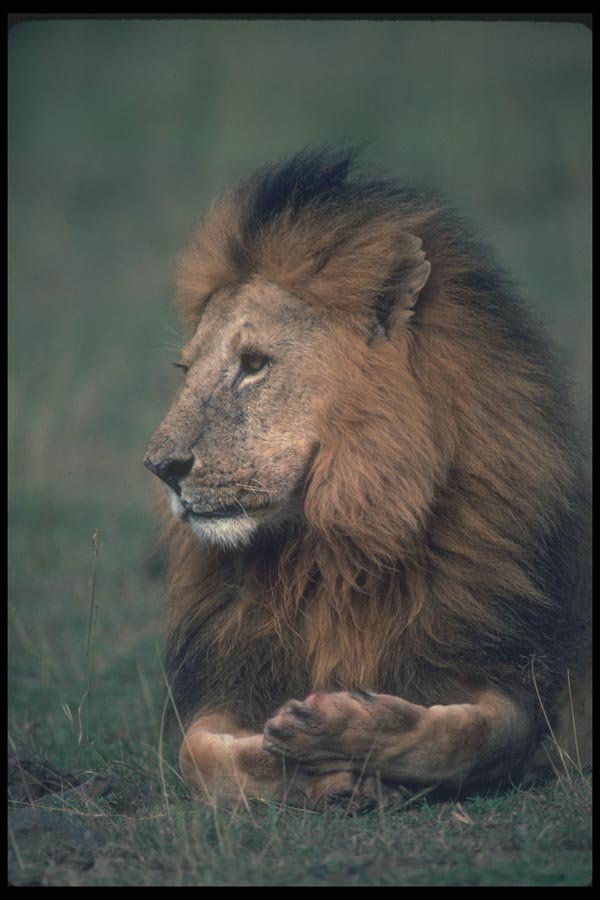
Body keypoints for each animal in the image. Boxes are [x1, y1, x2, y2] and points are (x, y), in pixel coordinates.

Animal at [145, 149, 591, 811]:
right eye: (186, 369)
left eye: (253, 364)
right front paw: (312, 770)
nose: (161, 468)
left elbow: (468, 735)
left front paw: (337, 730)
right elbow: (199, 758)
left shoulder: (512, 678)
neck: (338, 543)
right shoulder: (233, 677)